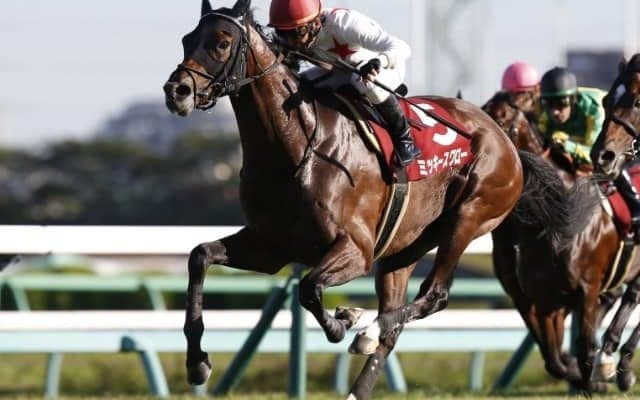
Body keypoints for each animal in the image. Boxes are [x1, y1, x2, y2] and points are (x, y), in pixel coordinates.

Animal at [163, 1, 527, 397]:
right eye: (186, 40)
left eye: (222, 42)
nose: (176, 90)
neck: (298, 148)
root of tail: (498, 132)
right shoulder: (271, 247)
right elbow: (200, 256)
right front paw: (197, 363)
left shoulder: (356, 250)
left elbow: (309, 288)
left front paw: (345, 319)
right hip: (405, 247)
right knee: (395, 322)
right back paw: (361, 376)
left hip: (469, 216)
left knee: (435, 295)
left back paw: (367, 330)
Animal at [482, 92, 640, 392]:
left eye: (502, 118)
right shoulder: (539, 301)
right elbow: (554, 360)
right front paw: (581, 374)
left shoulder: (585, 291)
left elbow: (584, 349)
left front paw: (594, 378)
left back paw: (621, 364)